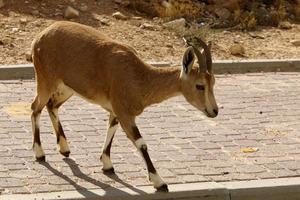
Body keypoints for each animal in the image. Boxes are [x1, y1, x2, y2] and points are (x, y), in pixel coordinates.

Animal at [30, 20, 218, 192]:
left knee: (52, 105)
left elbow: (111, 129)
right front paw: (159, 182)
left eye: (213, 82)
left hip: (67, 88)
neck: (140, 79)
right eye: (200, 85)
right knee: (35, 107)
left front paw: (107, 164)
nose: (214, 111)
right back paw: (40, 153)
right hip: (46, 80)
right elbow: (141, 143)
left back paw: (64, 148)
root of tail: (40, 36)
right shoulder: (124, 112)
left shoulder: (116, 111)